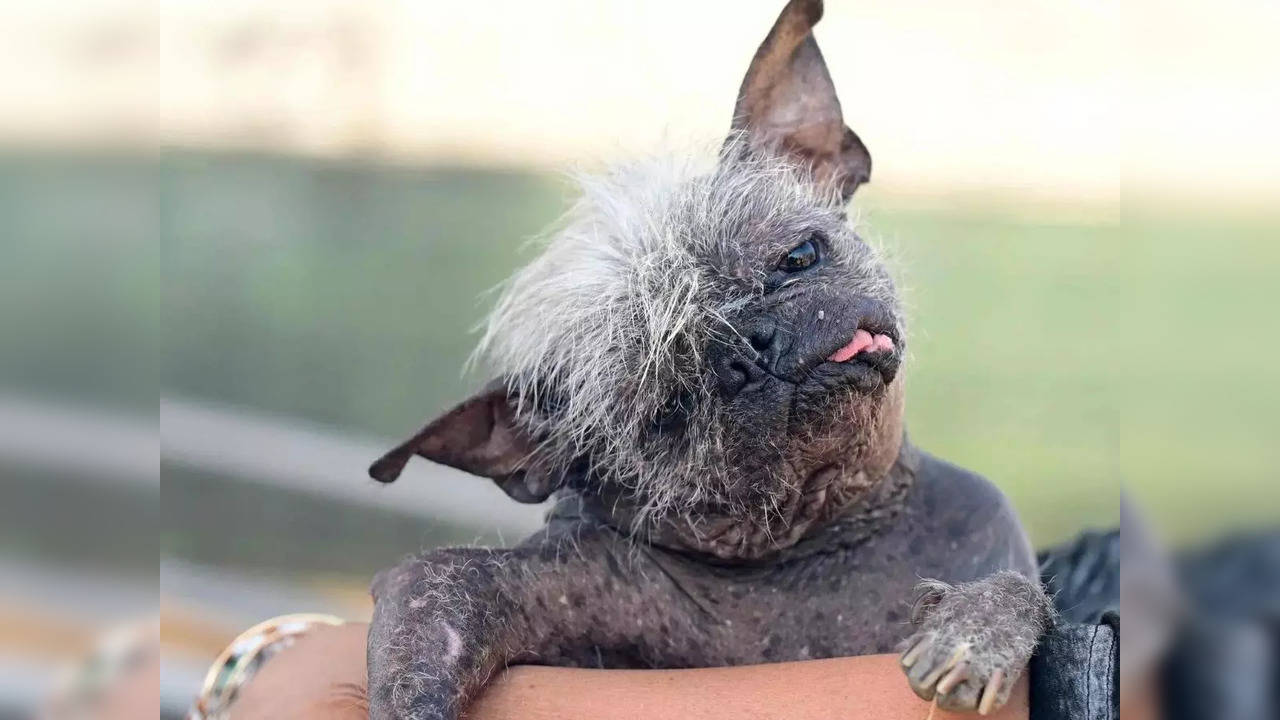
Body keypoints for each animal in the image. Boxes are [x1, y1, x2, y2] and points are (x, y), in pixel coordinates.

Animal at [366, 2, 1044, 712]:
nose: (750, 345)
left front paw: (972, 634)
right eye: (667, 409)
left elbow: (1021, 591)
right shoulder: (513, 578)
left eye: (799, 257)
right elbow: (432, 610)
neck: (807, 553)